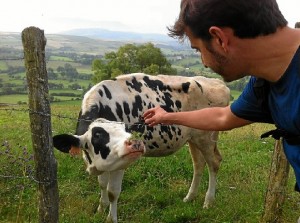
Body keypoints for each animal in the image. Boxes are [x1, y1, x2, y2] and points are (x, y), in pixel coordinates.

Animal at [52, 72, 230, 222]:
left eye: (126, 130)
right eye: (97, 136)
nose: (135, 143)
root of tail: (218, 82)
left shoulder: (120, 164)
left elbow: (112, 191)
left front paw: (110, 218)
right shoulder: (103, 162)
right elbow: (102, 183)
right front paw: (101, 209)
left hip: (206, 138)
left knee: (214, 163)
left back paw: (208, 201)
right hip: (193, 138)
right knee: (198, 164)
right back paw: (190, 197)